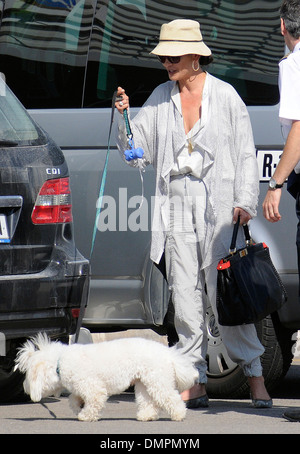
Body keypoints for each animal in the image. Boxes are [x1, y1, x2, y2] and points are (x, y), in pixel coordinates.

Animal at [14, 334, 198, 422]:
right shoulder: (81, 386)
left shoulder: (93, 387)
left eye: (28, 375)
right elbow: (73, 399)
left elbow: (94, 401)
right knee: (148, 401)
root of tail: (168, 353)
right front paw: (79, 406)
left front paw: (86, 416)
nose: (24, 387)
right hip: (144, 383)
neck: (60, 360)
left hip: (157, 380)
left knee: (171, 397)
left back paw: (179, 414)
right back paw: (146, 415)